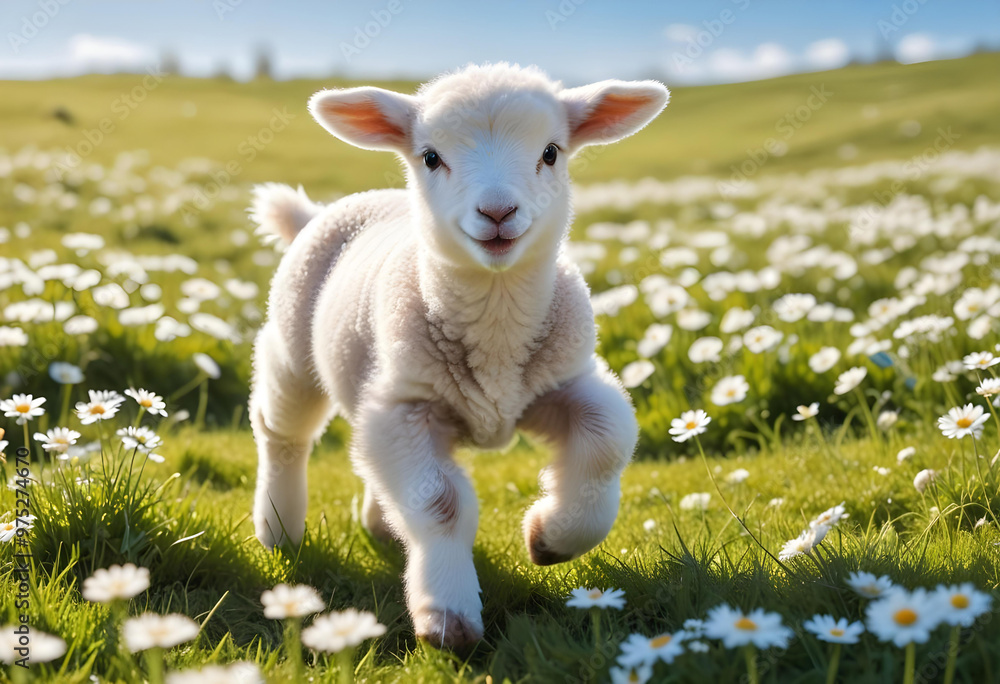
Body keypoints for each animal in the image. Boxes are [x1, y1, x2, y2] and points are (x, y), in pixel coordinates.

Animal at [250, 62, 668, 649]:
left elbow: (607, 440)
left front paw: (550, 537)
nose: (498, 211)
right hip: (291, 348)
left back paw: (379, 525)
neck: (495, 329)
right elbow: (440, 505)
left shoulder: (566, 380)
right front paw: (448, 620)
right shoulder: (407, 406)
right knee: (282, 432)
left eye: (551, 152)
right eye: (431, 157)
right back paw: (280, 528)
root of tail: (317, 213)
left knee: (365, 455)